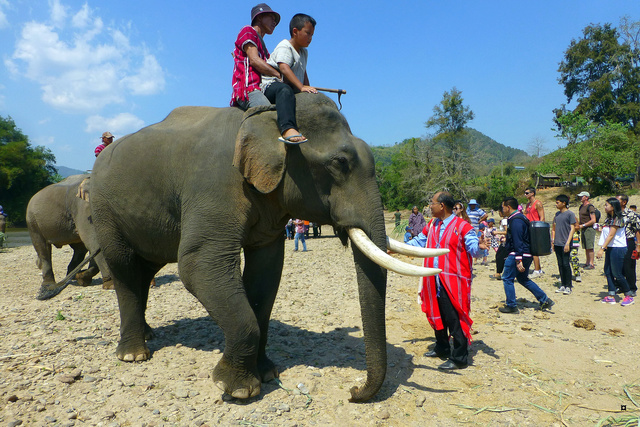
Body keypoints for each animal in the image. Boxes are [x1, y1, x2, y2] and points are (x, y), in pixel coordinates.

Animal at [90, 94, 448, 404]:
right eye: (340, 163)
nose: (353, 391)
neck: (266, 117)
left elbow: (266, 272)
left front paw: (267, 373)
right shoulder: (214, 186)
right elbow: (198, 265)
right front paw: (238, 390)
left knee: (144, 269)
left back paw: (149, 335)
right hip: (103, 211)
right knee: (124, 268)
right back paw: (134, 354)